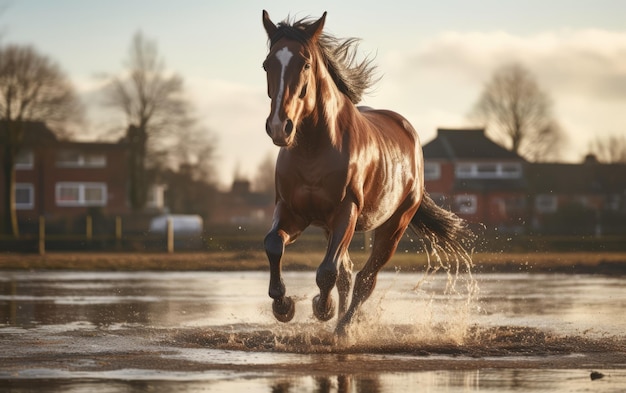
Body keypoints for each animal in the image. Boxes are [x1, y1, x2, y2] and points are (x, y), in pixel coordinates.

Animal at [260, 9, 470, 334]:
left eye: (305, 63)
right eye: (267, 63)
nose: (279, 127)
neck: (313, 148)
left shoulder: (346, 211)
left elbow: (327, 272)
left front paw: (322, 308)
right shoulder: (292, 210)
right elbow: (274, 245)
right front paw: (283, 306)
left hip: (393, 227)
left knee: (365, 280)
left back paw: (344, 329)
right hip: (332, 226)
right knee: (348, 275)